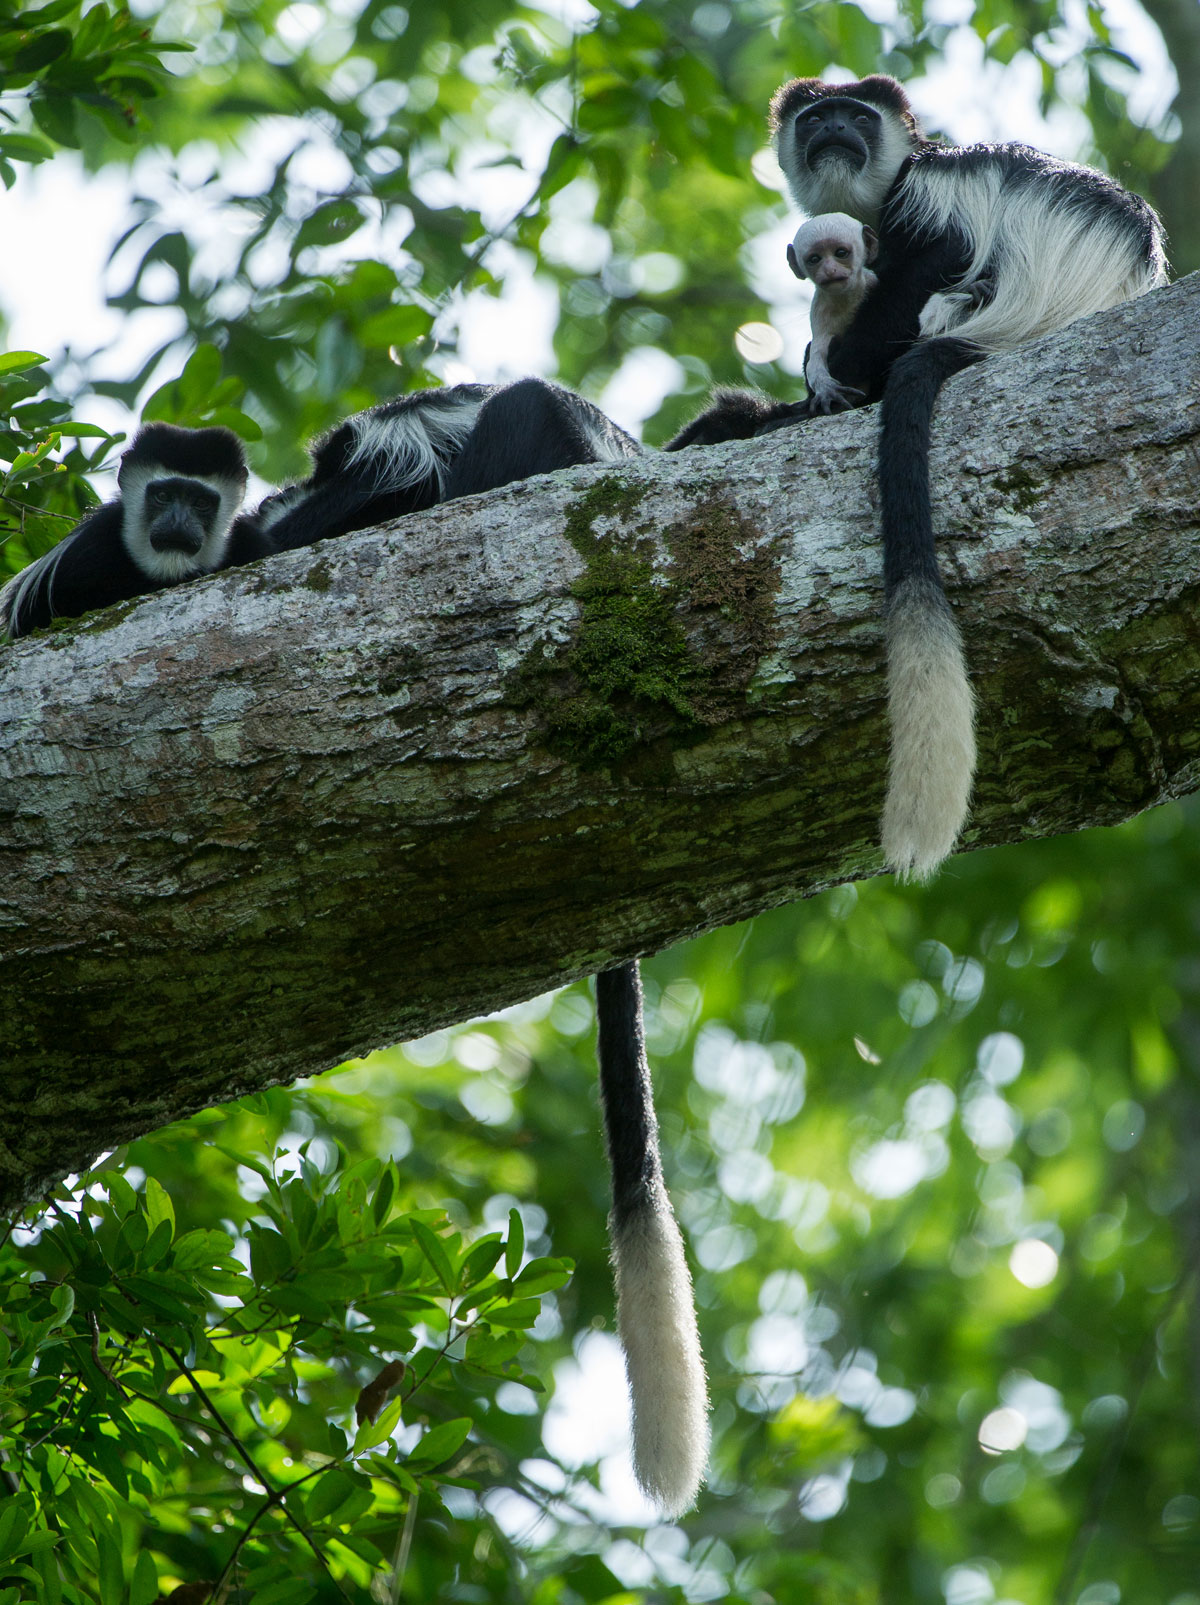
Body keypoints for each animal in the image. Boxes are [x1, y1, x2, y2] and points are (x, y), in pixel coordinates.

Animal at [786, 211, 879, 414]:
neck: (847, 299)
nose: (830, 270)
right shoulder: (819, 310)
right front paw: (826, 388)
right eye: (815, 259)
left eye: (840, 253)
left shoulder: (871, 282)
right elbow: (817, 351)